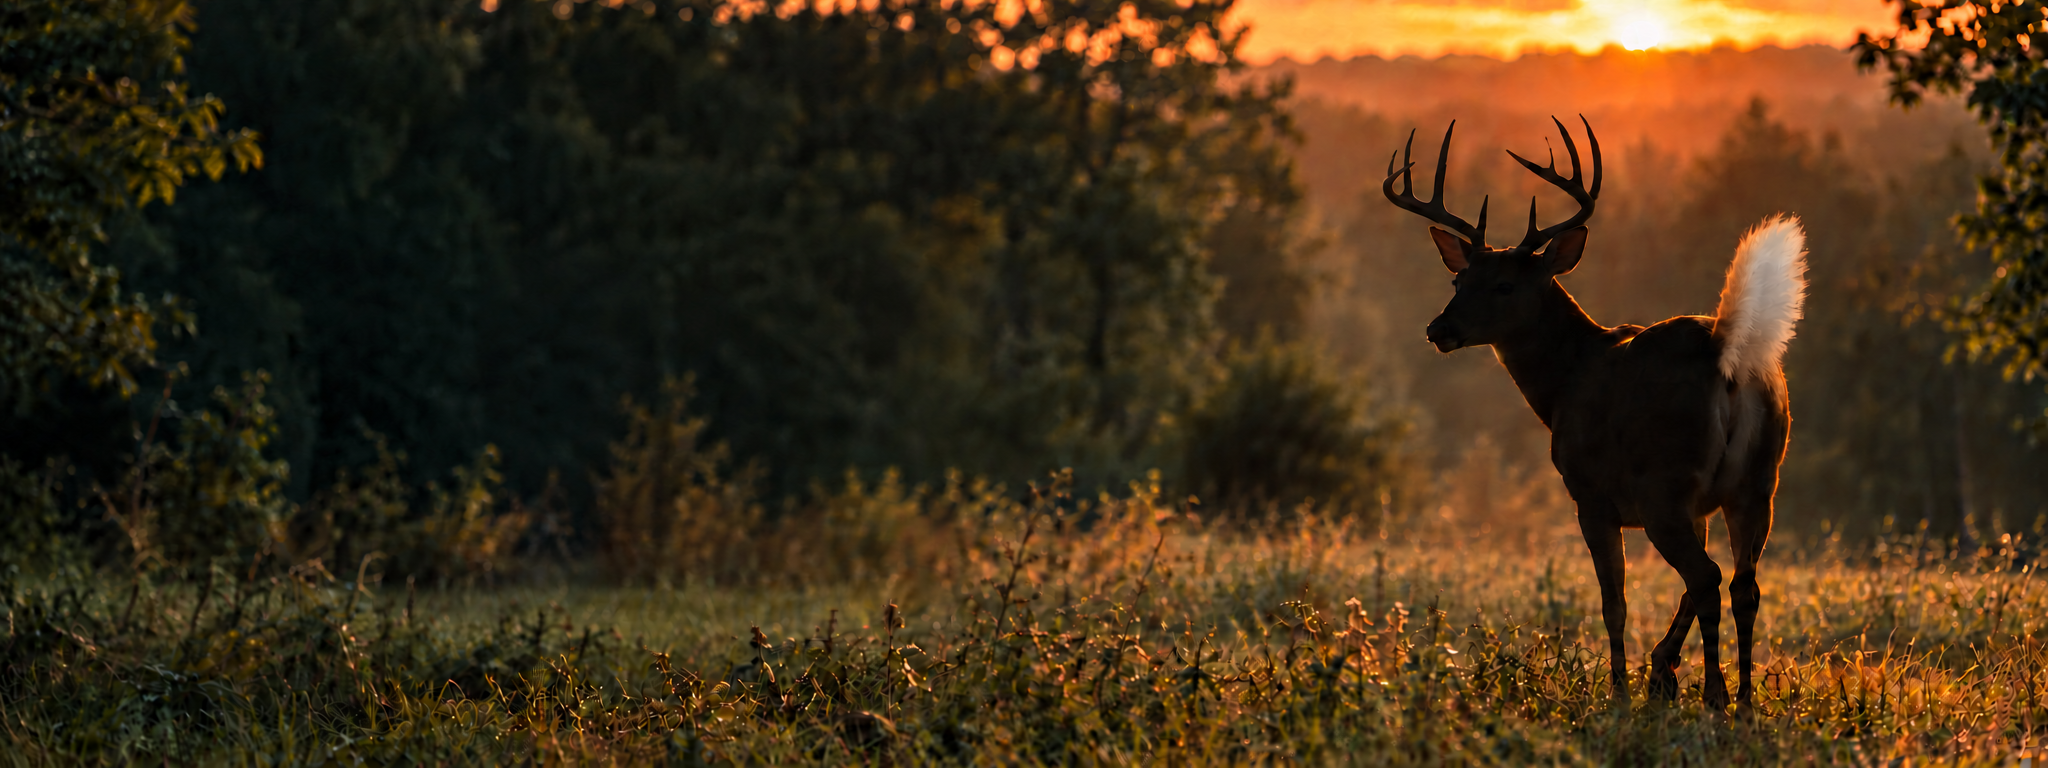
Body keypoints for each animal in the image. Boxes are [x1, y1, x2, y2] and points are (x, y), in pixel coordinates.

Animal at [1382, 117, 1806, 711]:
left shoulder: (1591, 496)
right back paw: (1743, 700)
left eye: (1504, 284)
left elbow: (1615, 602)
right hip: (1758, 480)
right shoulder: (1698, 504)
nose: (1438, 329)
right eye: (1457, 280)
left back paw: (1715, 696)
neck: (1564, 383)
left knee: (1707, 578)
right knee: (1743, 583)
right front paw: (1661, 670)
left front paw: (1625, 692)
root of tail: (1727, 353)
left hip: (1664, 484)